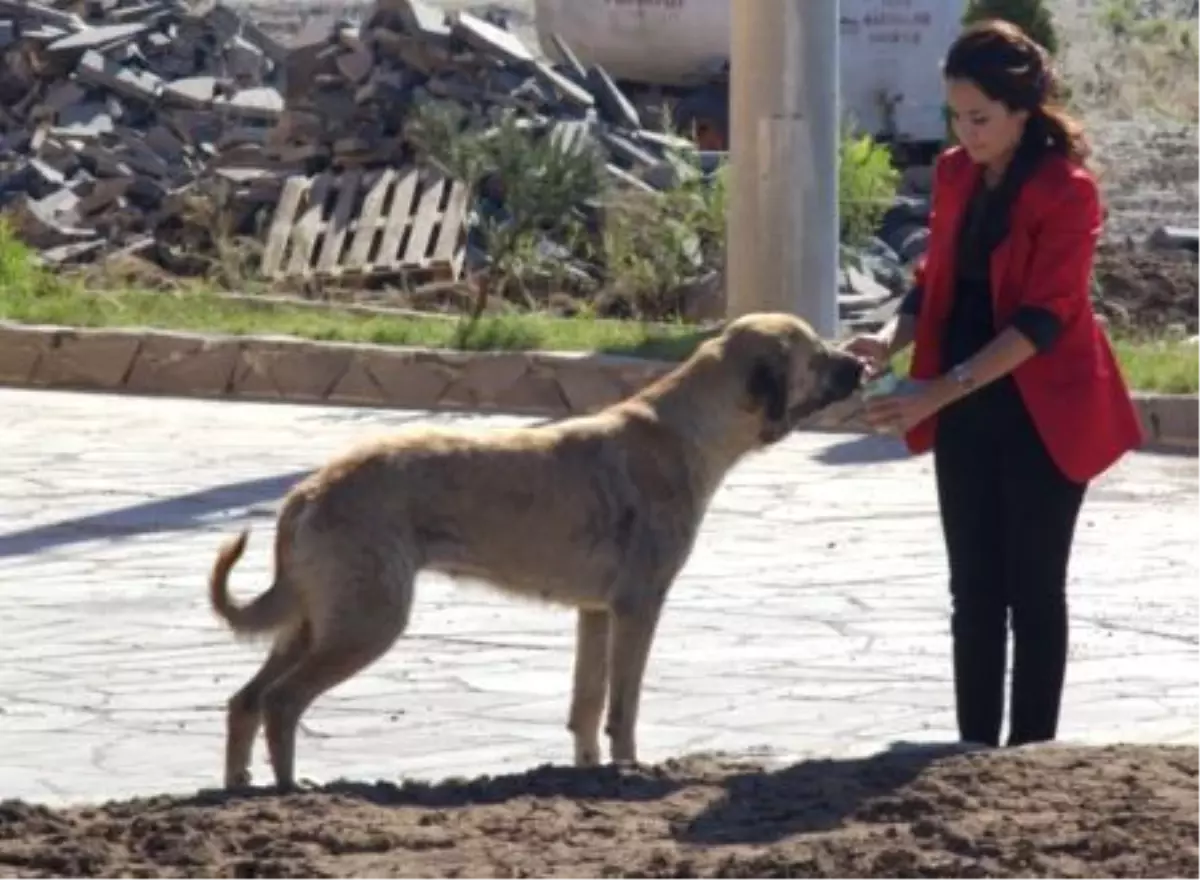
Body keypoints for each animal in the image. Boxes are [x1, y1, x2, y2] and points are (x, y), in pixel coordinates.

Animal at [206, 309, 864, 787]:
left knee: (245, 701)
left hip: (313, 622)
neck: (685, 428)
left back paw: (240, 788)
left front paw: (588, 771)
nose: (861, 362)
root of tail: (307, 490)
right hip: (365, 622)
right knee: (281, 702)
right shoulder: (638, 606)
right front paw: (629, 768)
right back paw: (290, 789)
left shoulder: (595, 613)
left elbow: (587, 704)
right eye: (817, 355)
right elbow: (623, 704)